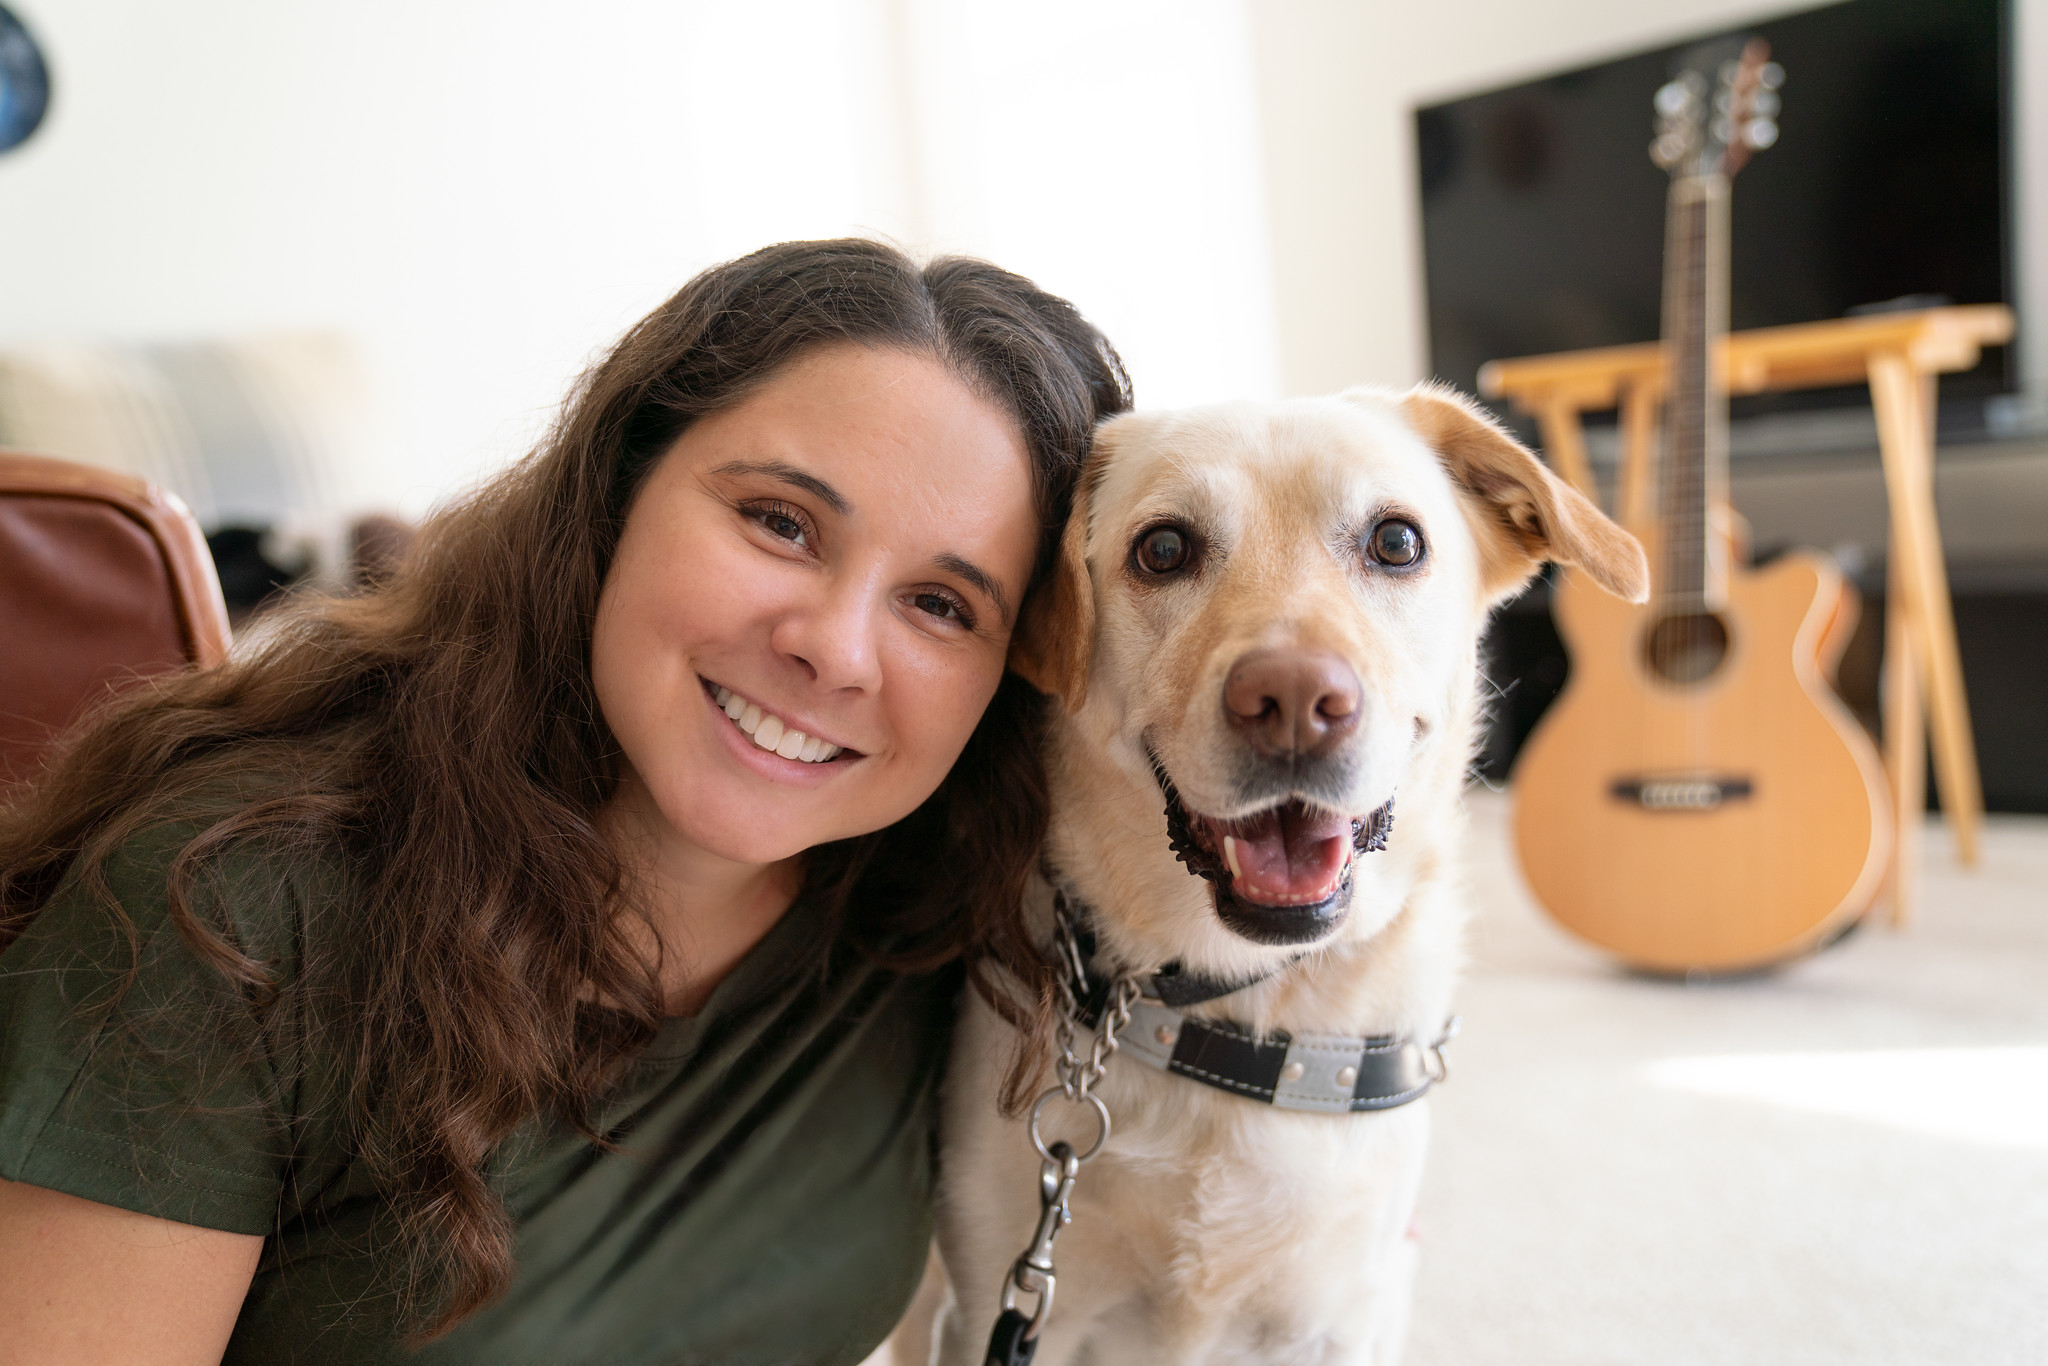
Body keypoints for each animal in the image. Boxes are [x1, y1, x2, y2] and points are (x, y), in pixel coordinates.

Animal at [929, 378, 1646, 1359]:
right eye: (1163, 550)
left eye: (1397, 542)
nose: (1296, 701)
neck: (1236, 1005)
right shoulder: (998, 1306)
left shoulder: (1338, 1321)